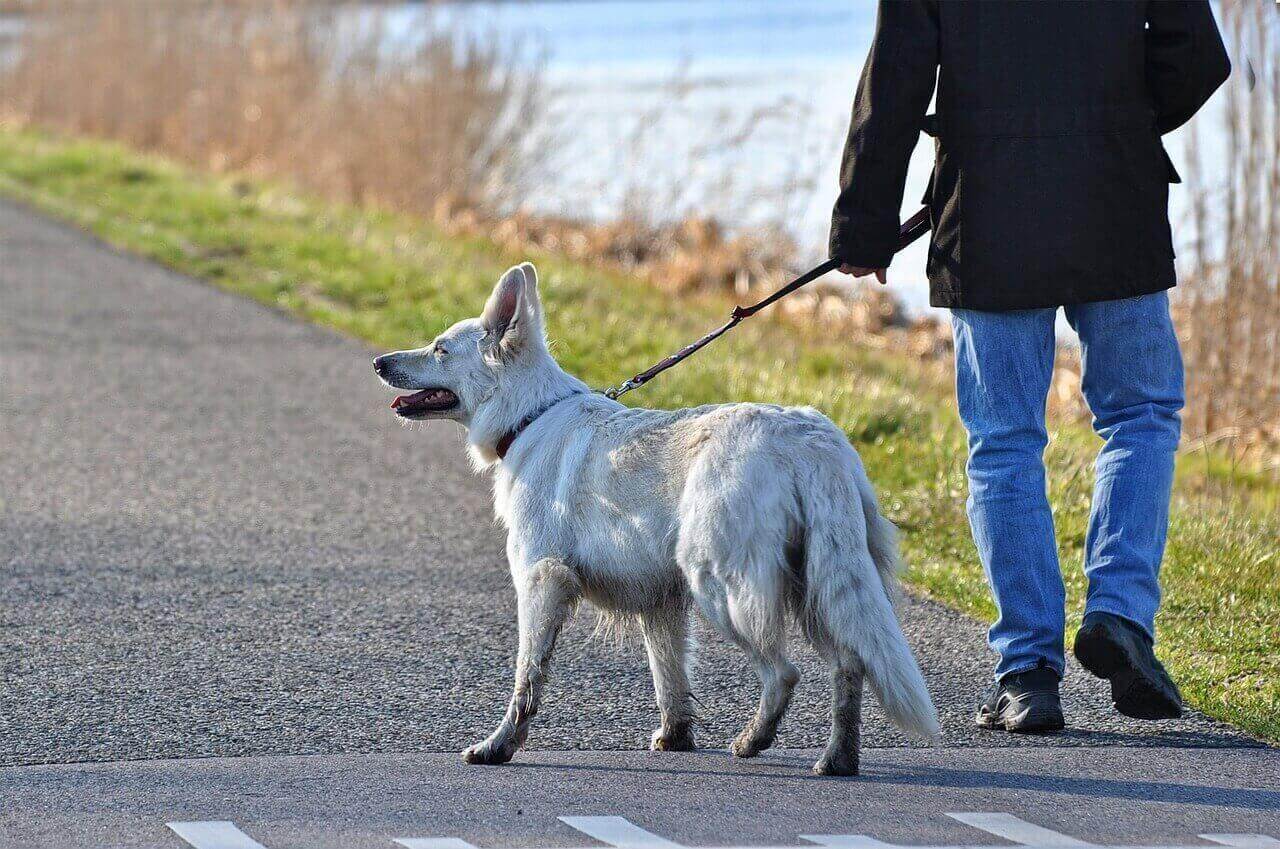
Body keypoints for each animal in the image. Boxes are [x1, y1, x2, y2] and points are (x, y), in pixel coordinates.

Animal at [373, 262, 936, 773]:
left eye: (440, 349)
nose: (379, 361)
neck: (529, 416)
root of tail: (810, 439)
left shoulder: (541, 582)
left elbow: (527, 677)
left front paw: (499, 746)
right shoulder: (660, 603)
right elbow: (670, 680)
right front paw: (676, 738)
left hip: (722, 588)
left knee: (784, 673)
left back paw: (753, 740)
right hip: (819, 586)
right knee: (850, 665)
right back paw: (837, 759)